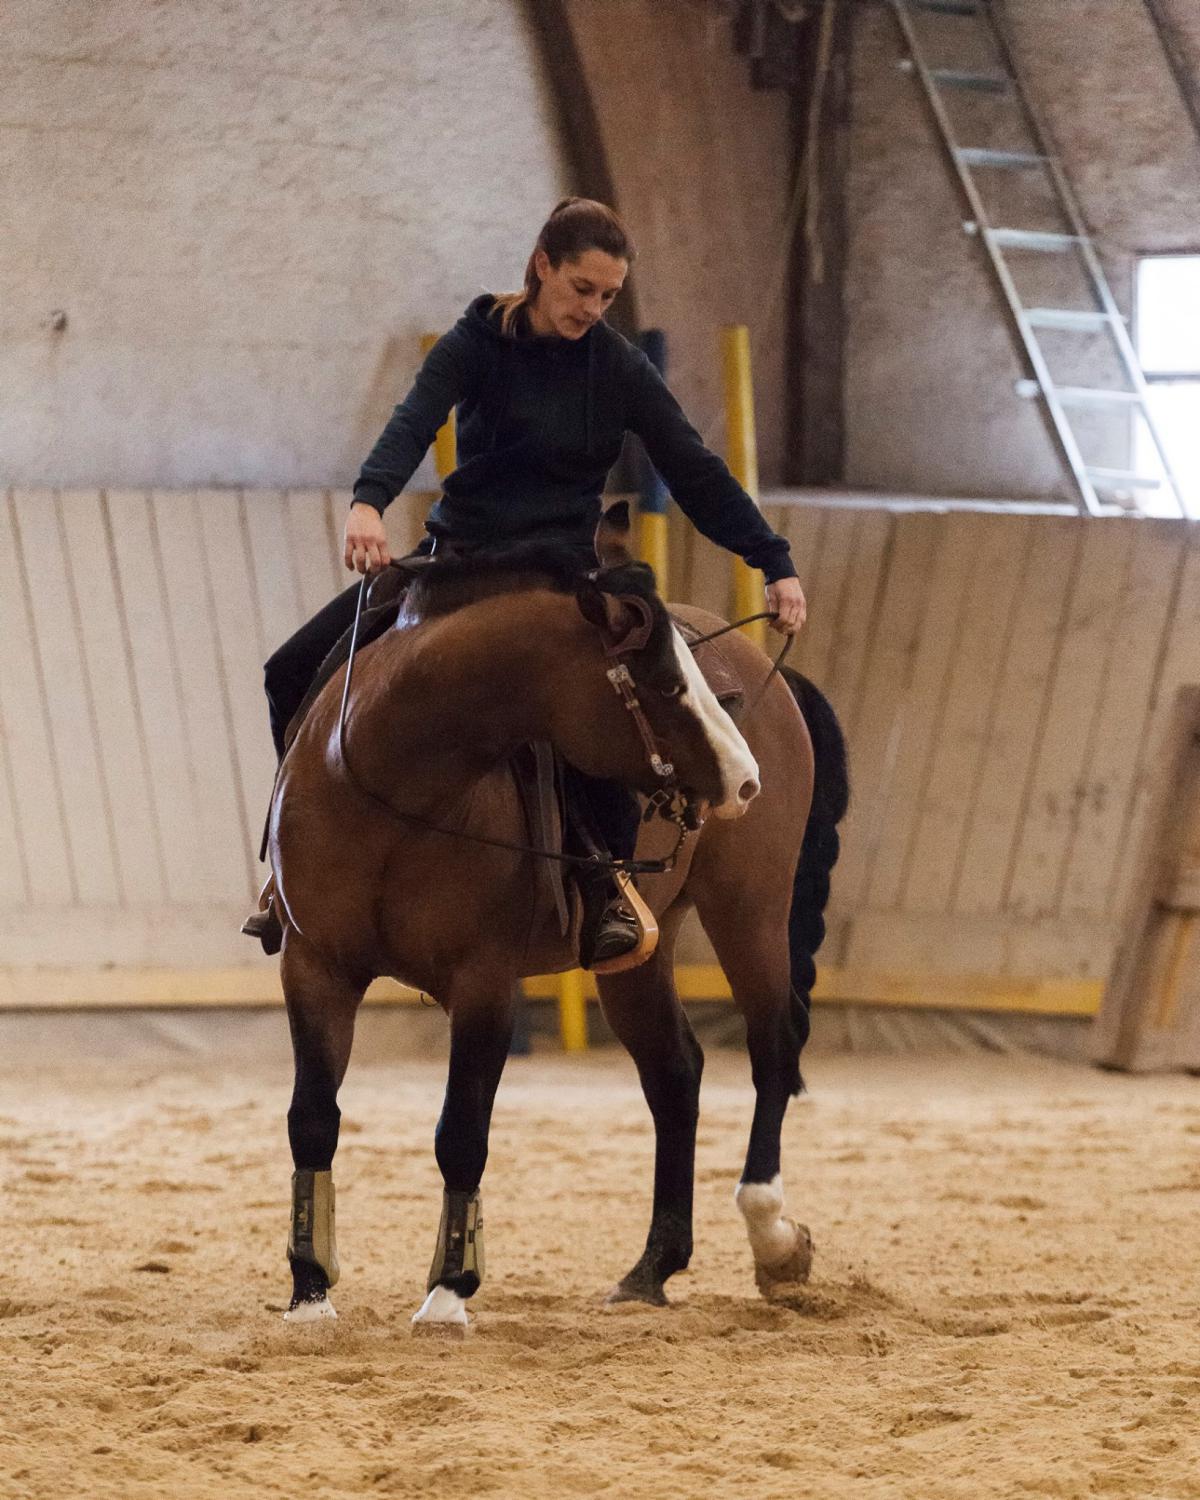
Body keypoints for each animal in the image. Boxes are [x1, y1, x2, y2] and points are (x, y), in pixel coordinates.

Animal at [267, 504, 846, 1326]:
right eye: (664, 682)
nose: (744, 779)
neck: (392, 786)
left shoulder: (483, 982)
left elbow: (462, 1130)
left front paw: (449, 1289)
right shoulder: (314, 966)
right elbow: (312, 1118)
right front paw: (310, 1290)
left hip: (750, 908)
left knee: (773, 1046)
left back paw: (772, 1234)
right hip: (641, 957)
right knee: (676, 1073)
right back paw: (653, 1267)